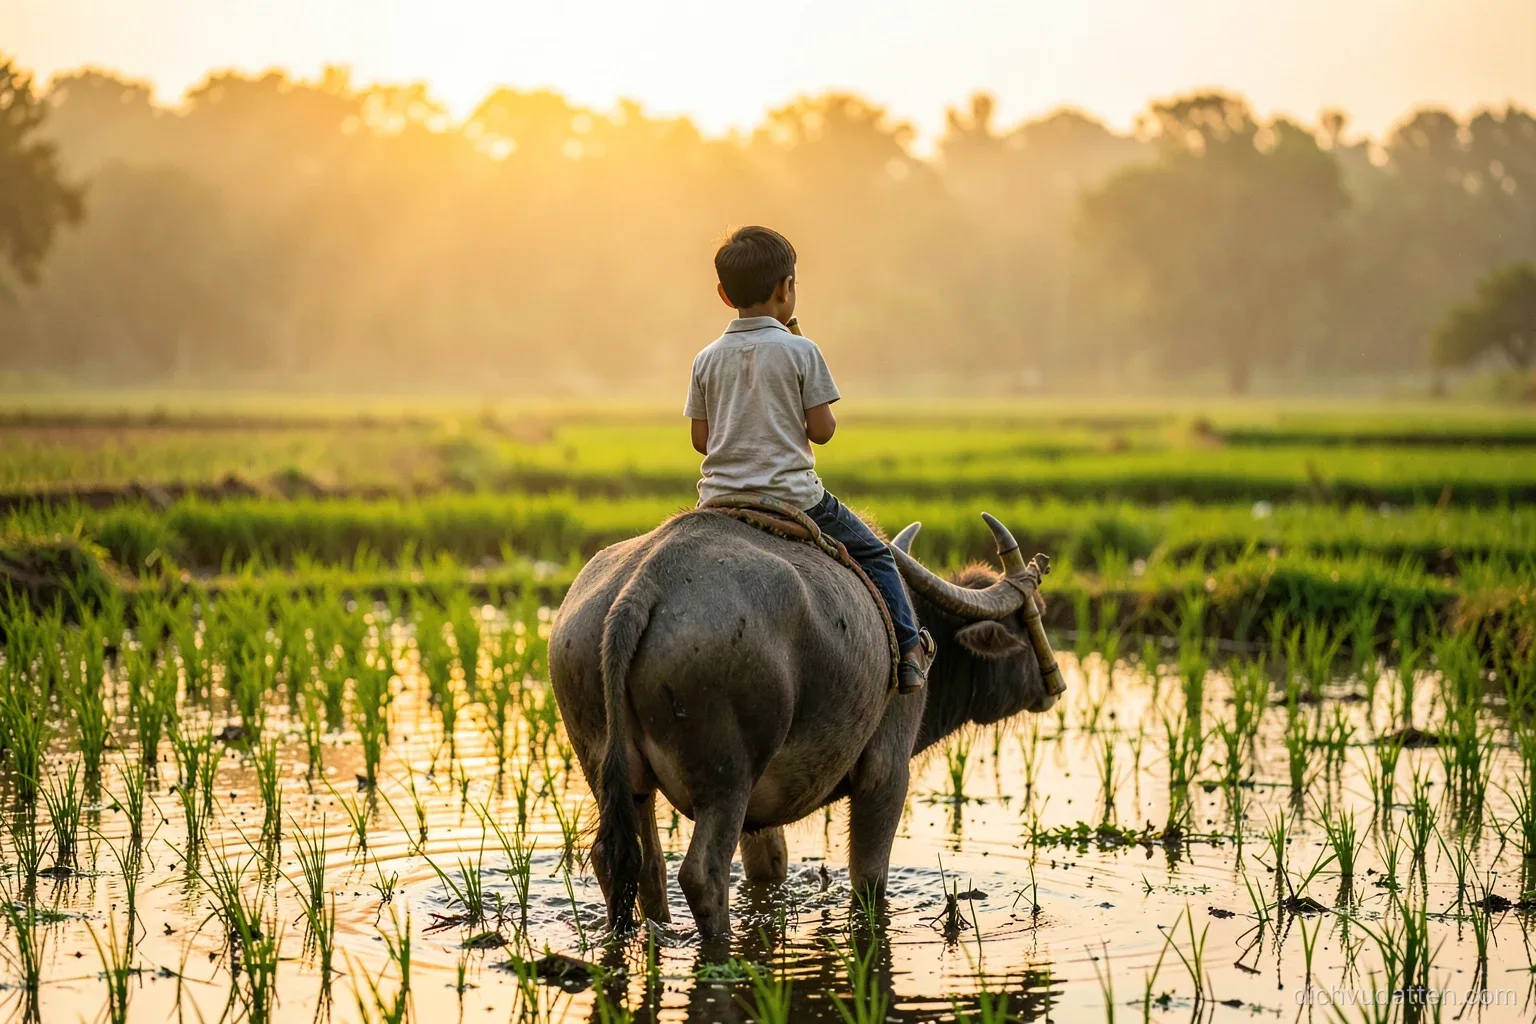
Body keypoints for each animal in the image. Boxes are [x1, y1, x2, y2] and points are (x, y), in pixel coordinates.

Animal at [548, 509, 1065, 938]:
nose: (1054, 684)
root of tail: (641, 587)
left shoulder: (760, 815)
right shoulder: (888, 770)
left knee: (635, 864)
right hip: (726, 779)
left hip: (614, 771)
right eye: (1033, 617)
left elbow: (770, 870)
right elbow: (869, 880)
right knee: (700, 875)